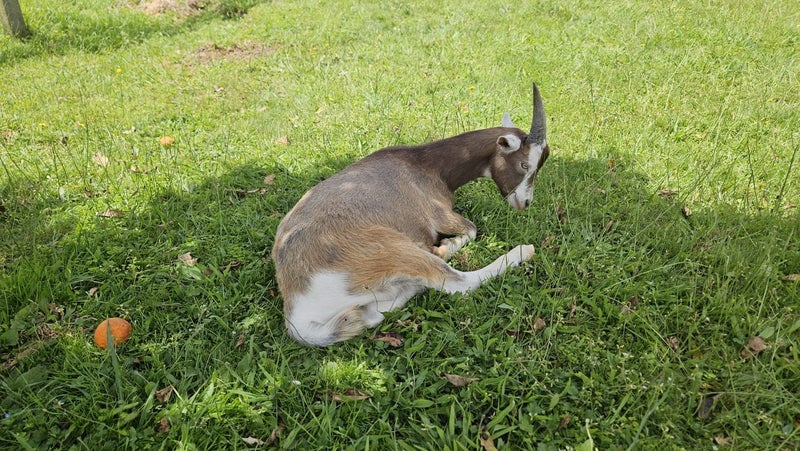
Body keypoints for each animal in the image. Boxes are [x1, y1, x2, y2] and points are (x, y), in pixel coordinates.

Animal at [272, 84, 549, 346]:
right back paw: (522, 251)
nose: (525, 202)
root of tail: (298, 312)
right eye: (525, 164)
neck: (424, 163)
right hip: (396, 252)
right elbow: (471, 228)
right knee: (459, 284)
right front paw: (446, 246)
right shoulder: (439, 214)